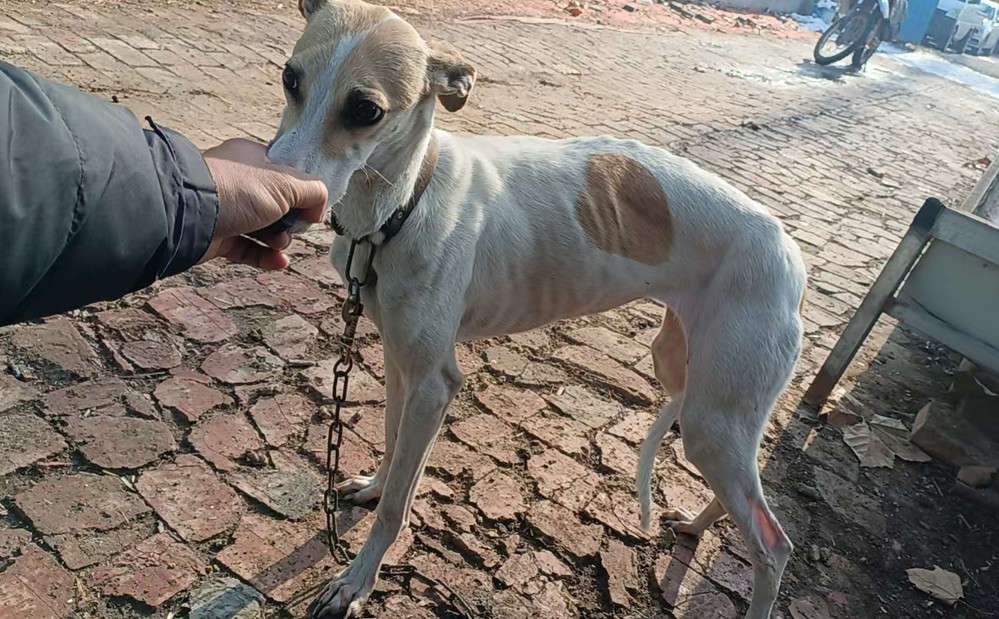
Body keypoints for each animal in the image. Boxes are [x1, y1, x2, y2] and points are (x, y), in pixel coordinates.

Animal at [267, 1, 808, 617]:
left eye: (366, 110)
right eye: (290, 78)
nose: (278, 211)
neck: (404, 202)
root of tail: (788, 247)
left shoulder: (434, 384)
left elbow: (394, 508)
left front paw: (356, 581)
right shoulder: (400, 364)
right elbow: (391, 448)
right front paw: (375, 488)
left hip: (713, 416)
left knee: (773, 544)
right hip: (694, 387)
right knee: (747, 496)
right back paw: (694, 524)